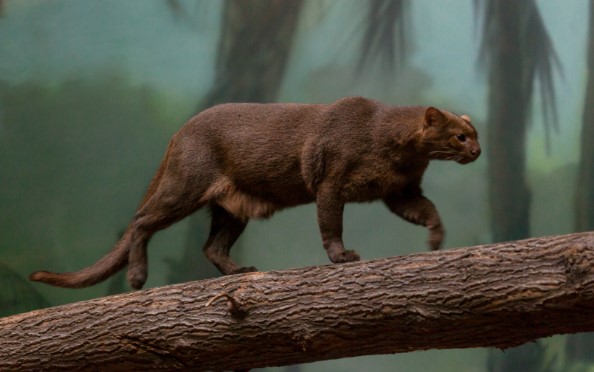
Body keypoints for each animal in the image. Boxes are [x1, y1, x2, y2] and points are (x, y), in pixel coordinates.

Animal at [30, 96, 478, 290]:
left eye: (475, 134)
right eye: (460, 135)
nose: (477, 151)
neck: (396, 145)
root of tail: (179, 132)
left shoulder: (400, 191)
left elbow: (428, 210)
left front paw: (436, 239)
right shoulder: (331, 183)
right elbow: (330, 224)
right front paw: (342, 257)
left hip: (233, 209)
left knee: (211, 246)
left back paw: (240, 271)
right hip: (184, 188)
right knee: (141, 222)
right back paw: (138, 276)